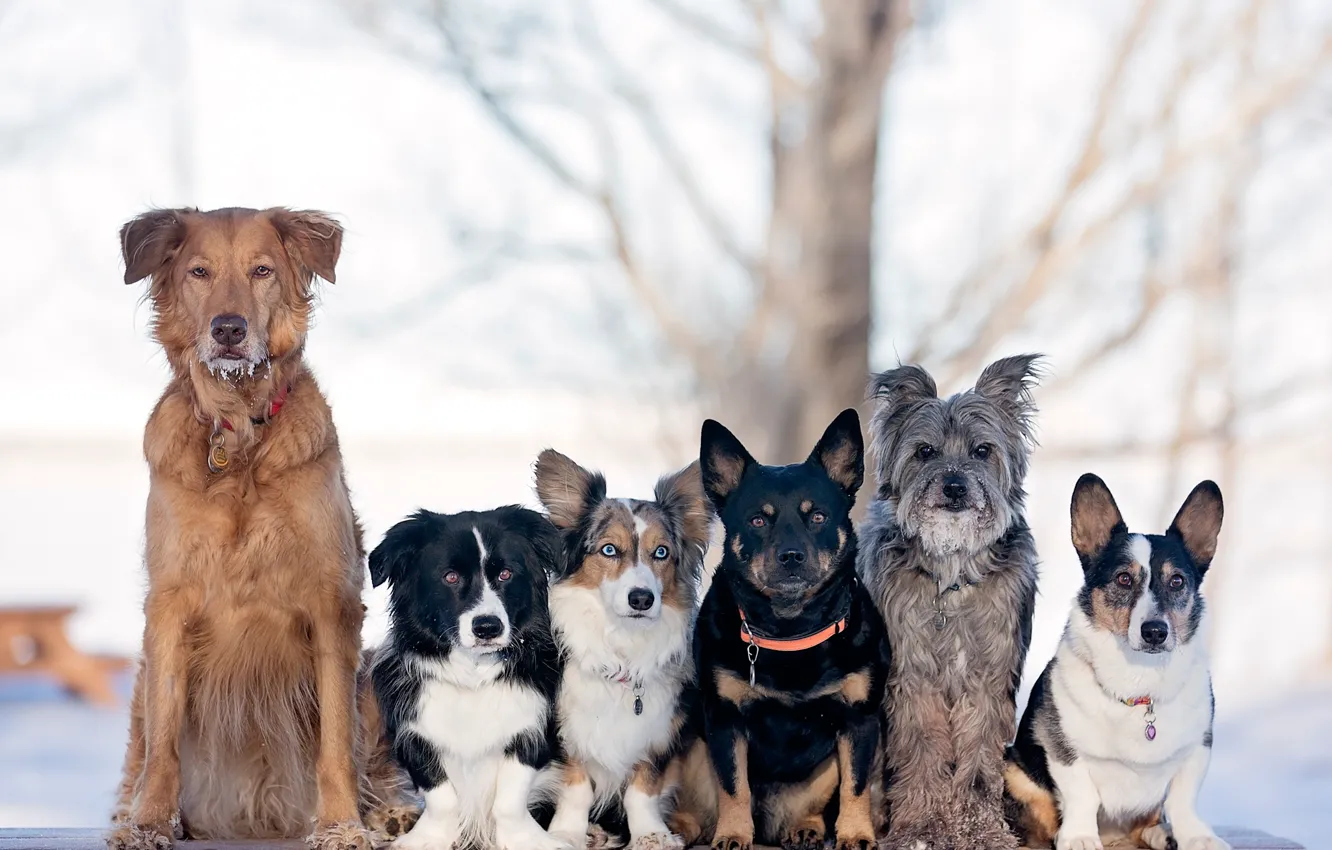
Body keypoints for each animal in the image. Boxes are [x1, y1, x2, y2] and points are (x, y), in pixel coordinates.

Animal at [107, 207, 410, 850]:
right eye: (199, 272)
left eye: (262, 270)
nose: (228, 329)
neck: (240, 434)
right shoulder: (169, 604)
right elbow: (163, 746)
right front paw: (149, 824)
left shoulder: (331, 601)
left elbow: (336, 742)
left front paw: (342, 825)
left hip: (373, 674)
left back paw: (388, 813)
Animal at [857, 354, 1044, 850]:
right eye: (925, 452)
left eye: (981, 451)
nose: (956, 486)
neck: (952, 575)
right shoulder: (912, 677)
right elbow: (922, 752)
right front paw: (920, 828)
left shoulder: (988, 678)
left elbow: (978, 763)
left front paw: (979, 830)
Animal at [1001, 476, 1225, 850]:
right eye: (1123, 578)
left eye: (1177, 581)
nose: (1155, 632)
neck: (1139, 680)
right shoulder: (1063, 748)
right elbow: (1082, 794)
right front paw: (1079, 837)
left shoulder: (1197, 747)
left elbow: (1182, 800)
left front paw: (1197, 836)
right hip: (1012, 766)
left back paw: (1161, 834)